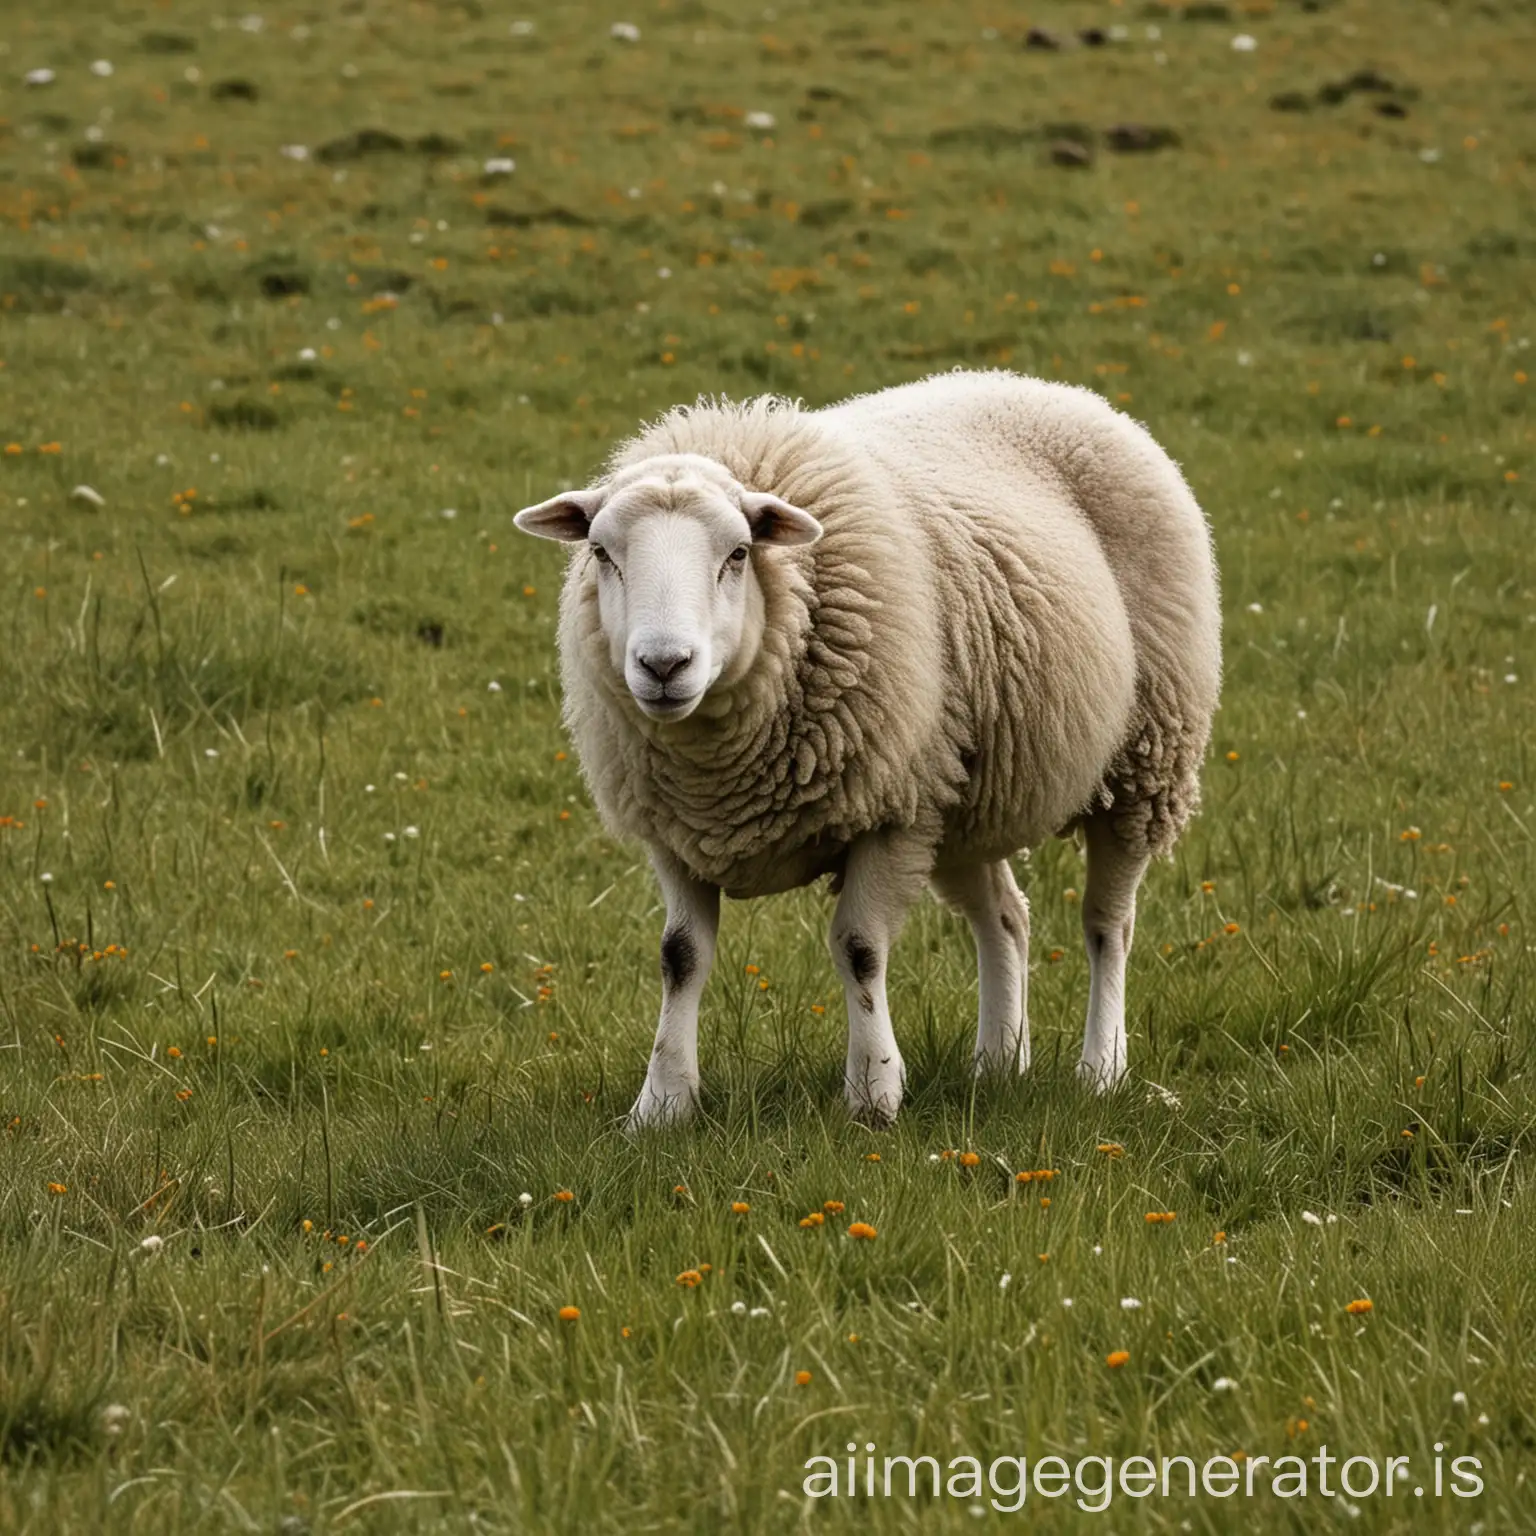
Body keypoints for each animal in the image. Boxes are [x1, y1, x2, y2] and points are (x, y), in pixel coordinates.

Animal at [516, 365, 1222, 1124]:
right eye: (600, 552)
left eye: (738, 553)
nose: (664, 665)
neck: (716, 769)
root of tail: (1050, 385)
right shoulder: (675, 832)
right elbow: (680, 957)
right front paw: (662, 1103)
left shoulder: (891, 815)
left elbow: (858, 949)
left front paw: (873, 1093)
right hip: (962, 795)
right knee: (1005, 917)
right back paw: (998, 1064)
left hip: (1146, 757)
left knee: (1107, 924)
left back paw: (1101, 1068)